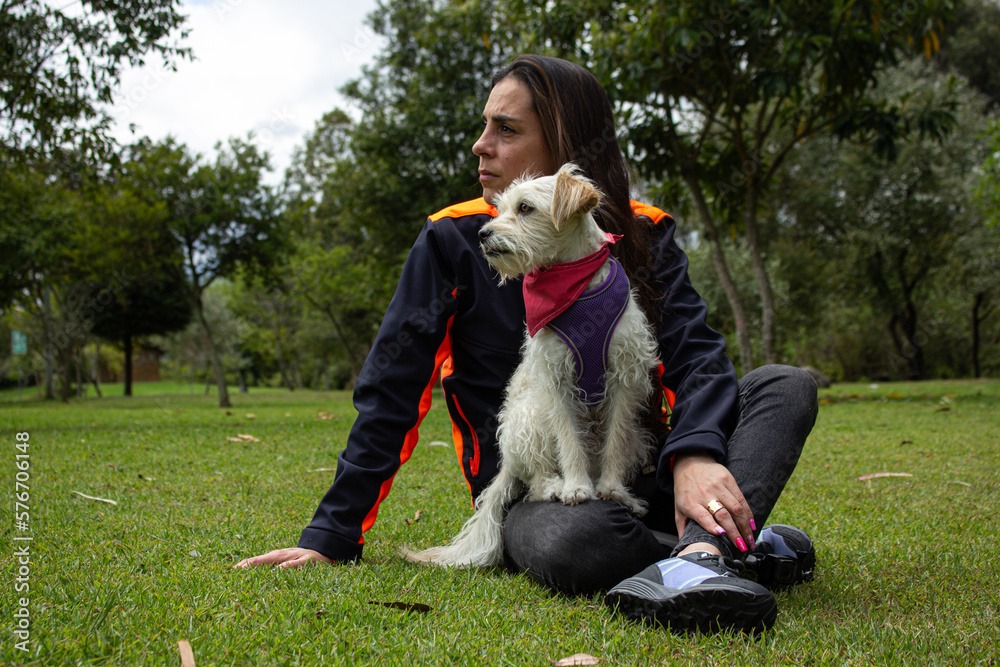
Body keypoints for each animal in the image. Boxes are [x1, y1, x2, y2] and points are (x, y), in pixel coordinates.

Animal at [402, 166, 660, 568]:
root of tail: (508, 460)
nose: (483, 234)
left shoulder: (624, 376)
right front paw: (576, 487)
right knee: (535, 479)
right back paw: (554, 486)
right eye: (501, 207)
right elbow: (569, 442)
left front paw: (614, 491)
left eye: (525, 208)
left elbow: (614, 444)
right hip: (529, 418)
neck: (576, 286)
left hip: (636, 434)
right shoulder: (556, 380)